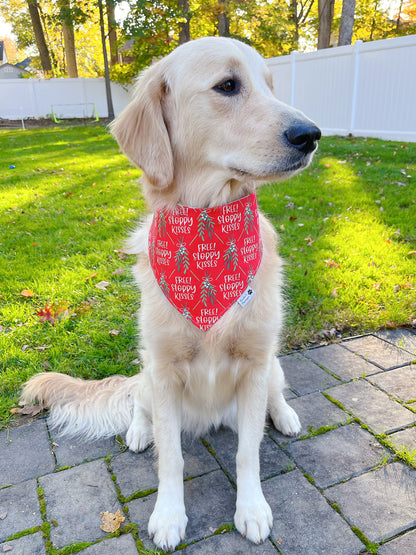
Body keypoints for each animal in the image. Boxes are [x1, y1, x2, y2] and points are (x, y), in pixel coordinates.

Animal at [21, 38, 322, 552]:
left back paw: (284, 416)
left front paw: (252, 508)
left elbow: (248, 451)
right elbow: (172, 458)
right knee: (141, 410)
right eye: (228, 85)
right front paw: (168, 515)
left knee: (275, 396)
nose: (312, 134)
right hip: (145, 372)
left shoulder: (255, 362)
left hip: (272, 365)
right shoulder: (163, 371)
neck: (207, 229)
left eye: (270, 86)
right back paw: (139, 432)